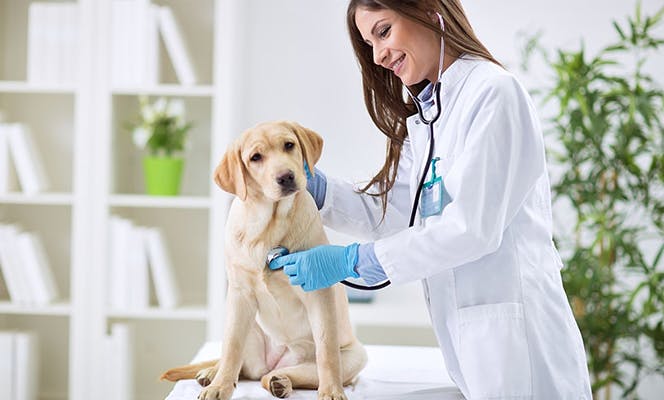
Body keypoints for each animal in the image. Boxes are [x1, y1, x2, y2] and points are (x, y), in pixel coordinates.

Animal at [161, 121, 368, 400]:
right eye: (255, 157)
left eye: (289, 145)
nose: (286, 176)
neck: (268, 225)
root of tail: (274, 362)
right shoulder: (239, 294)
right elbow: (231, 349)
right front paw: (219, 387)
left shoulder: (318, 294)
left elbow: (327, 352)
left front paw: (331, 391)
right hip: (246, 325)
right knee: (240, 364)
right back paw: (212, 373)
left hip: (355, 355)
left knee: (273, 376)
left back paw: (280, 382)